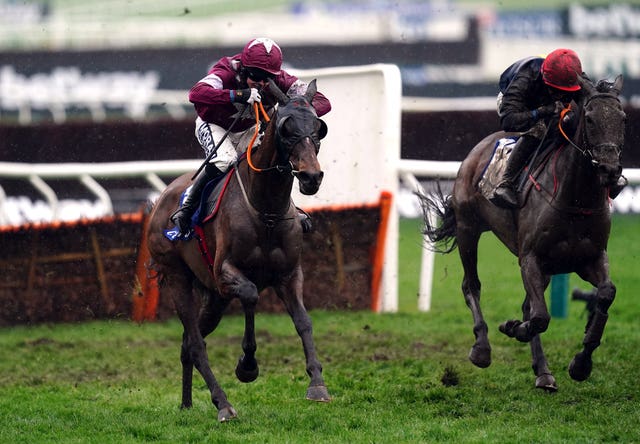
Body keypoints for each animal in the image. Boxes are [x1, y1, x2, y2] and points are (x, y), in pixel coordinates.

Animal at [147, 78, 330, 422]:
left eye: (319, 127)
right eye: (286, 128)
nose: (311, 177)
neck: (266, 210)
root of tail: (161, 199)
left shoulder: (289, 274)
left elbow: (304, 322)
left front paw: (317, 384)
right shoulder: (225, 274)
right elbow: (250, 295)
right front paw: (247, 366)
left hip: (214, 298)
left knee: (188, 343)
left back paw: (187, 403)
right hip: (177, 277)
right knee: (195, 343)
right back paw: (223, 403)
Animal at [420, 76, 624, 392]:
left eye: (623, 118)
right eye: (590, 118)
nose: (610, 170)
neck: (576, 199)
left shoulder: (590, 258)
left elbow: (605, 294)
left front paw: (581, 364)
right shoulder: (530, 258)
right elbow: (539, 316)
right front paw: (512, 328)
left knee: (527, 304)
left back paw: (543, 372)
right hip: (468, 229)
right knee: (471, 285)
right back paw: (482, 348)